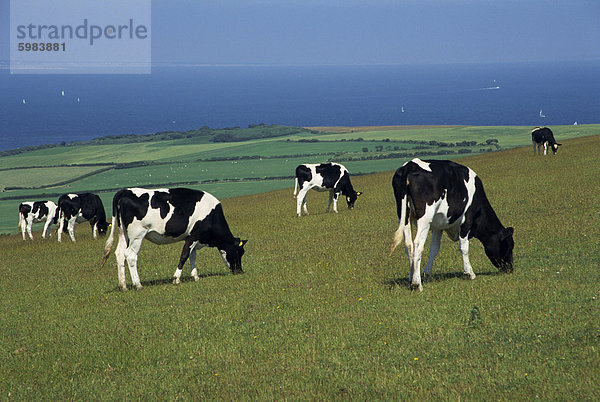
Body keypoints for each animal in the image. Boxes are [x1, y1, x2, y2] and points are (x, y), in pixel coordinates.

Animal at [102, 187, 247, 290]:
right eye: (239, 252)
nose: (240, 271)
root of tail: (125, 191)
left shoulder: (192, 237)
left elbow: (192, 256)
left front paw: (195, 276)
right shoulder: (194, 235)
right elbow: (184, 255)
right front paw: (176, 278)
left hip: (123, 233)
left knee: (120, 254)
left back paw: (123, 286)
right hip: (137, 234)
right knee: (130, 255)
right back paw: (138, 284)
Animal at [390, 158, 516, 292]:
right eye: (509, 246)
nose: (510, 269)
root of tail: (410, 165)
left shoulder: (438, 226)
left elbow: (434, 249)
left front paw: (426, 274)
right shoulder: (467, 220)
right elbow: (464, 247)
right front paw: (469, 273)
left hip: (403, 215)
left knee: (408, 245)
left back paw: (411, 279)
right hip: (424, 218)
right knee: (418, 244)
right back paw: (416, 284)